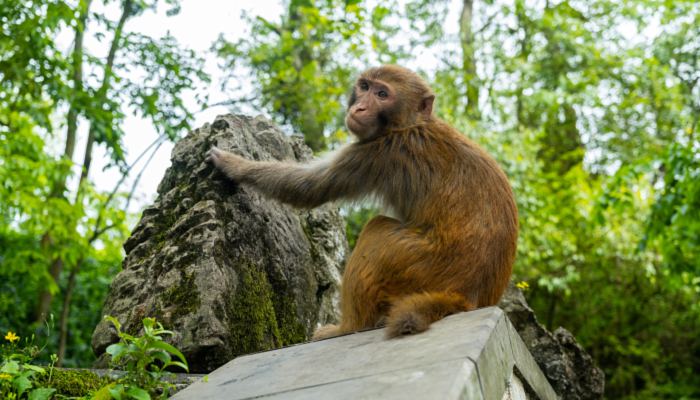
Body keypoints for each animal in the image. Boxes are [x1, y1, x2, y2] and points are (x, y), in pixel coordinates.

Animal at [205, 64, 516, 340]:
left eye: (382, 94)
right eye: (365, 87)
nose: (360, 108)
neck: (412, 124)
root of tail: (464, 295)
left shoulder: (378, 152)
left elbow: (309, 187)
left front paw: (234, 165)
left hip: (418, 264)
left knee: (376, 230)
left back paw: (349, 327)